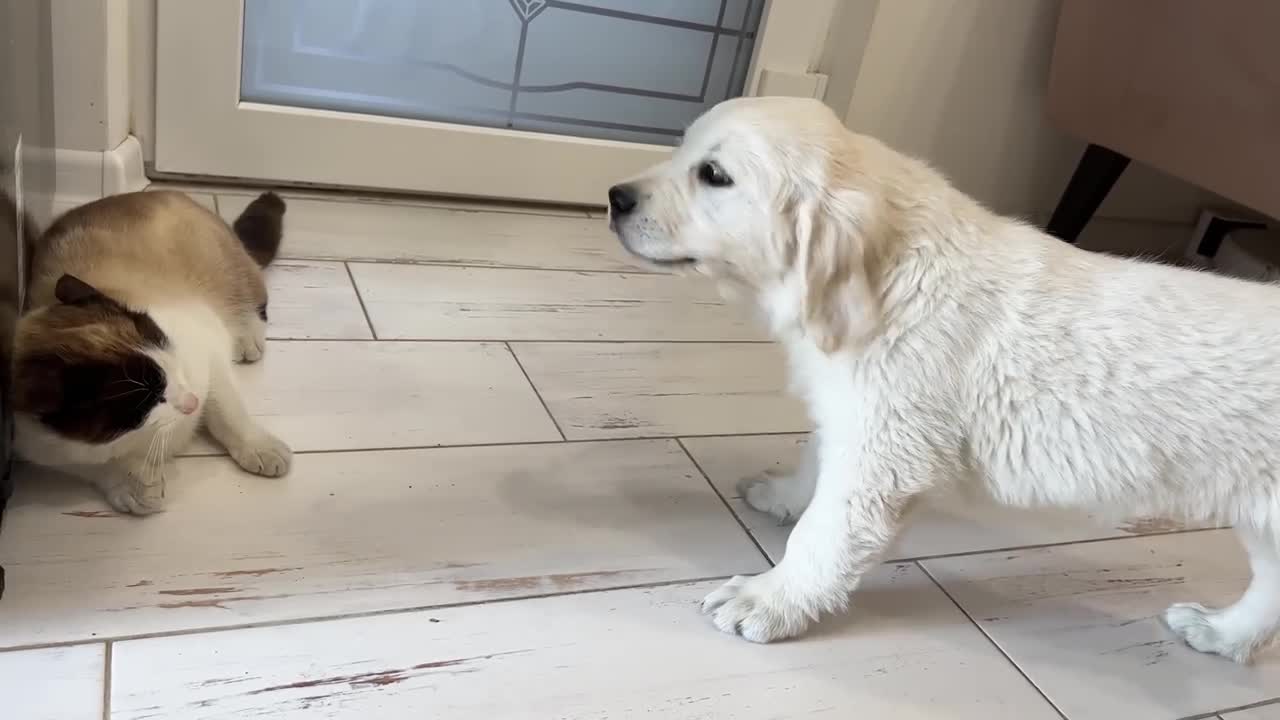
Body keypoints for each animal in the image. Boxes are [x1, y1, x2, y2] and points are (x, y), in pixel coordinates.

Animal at [8, 190, 293, 509]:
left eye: (165, 350)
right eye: (145, 401)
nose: (192, 403)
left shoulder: (209, 349)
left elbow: (229, 414)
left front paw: (259, 447)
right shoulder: (43, 449)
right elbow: (96, 466)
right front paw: (135, 485)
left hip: (229, 271)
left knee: (252, 298)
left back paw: (246, 339)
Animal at [604, 96, 1280, 661]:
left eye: (714, 175)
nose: (614, 196)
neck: (888, 277)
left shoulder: (888, 447)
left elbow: (825, 535)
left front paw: (770, 599)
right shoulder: (852, 413)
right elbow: (815, 461)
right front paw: (783, 496)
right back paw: (1222, 634)